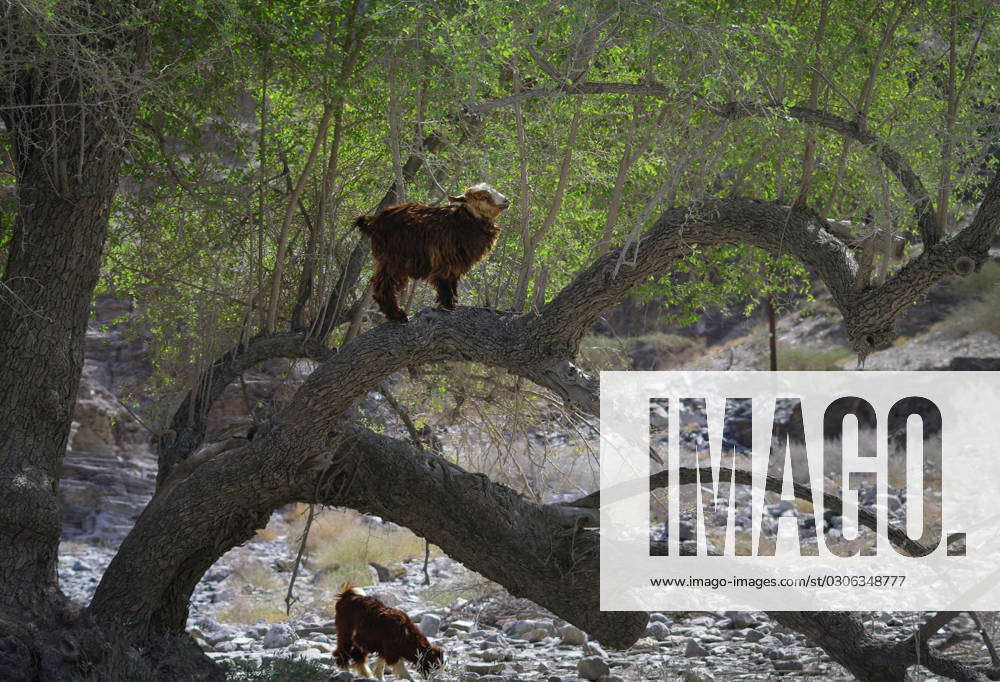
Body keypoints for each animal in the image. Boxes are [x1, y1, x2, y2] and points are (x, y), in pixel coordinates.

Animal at [354, 182, 512, 322]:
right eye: (483, 197)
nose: (506, 201)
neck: (461, 223)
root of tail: (374, 221)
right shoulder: (445, 261)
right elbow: (444, 283)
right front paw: (448, 306)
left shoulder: (455, 265)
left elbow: (452, 283)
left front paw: (452, 304)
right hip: (393, 259)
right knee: (383, 285)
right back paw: (398, 316)